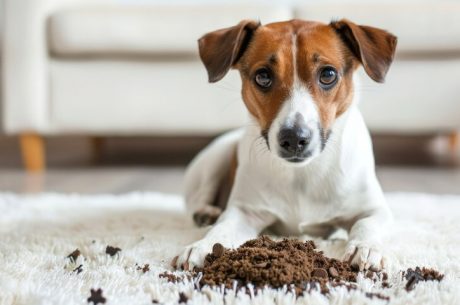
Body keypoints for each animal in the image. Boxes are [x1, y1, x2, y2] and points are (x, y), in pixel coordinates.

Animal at [174, 18, 398, 270]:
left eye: (328, 74)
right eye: (263, 76)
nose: (293, 138)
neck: (301, 173)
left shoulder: (374, 210)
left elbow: (367, 224)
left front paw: (366, 248)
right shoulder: (244, 212)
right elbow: (222, 229)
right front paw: (202, 246)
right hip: (216, 156)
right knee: (199, 198)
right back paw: (206, 213)